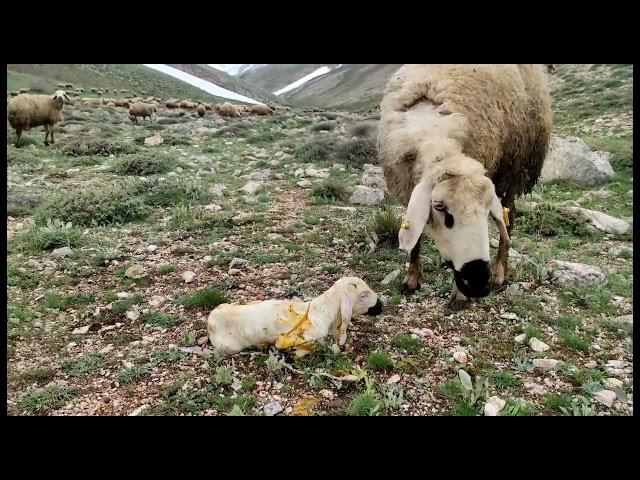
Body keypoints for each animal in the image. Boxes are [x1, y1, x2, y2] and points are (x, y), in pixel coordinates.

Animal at [378, 63, 552, 310]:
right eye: (438, 206)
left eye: (486, 210)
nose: (478, 282)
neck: (432, 134)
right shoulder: (407, 186)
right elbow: (415, 236)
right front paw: (411, 279)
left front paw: (459, 296)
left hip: (517, 166)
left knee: (508, 218)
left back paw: (499, 271)